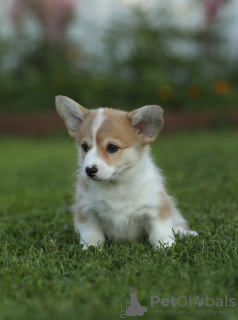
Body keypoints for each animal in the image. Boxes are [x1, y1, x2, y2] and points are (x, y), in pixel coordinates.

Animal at [55, 95, 197, 250]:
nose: (89, 170)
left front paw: (166, 247)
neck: (116, 185)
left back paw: (186, 233)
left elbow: (160, 232)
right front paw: (91, 249)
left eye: (112, 147)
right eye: (85, 147)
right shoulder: (87, 211)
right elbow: (91, 236)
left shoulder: (156, 207)